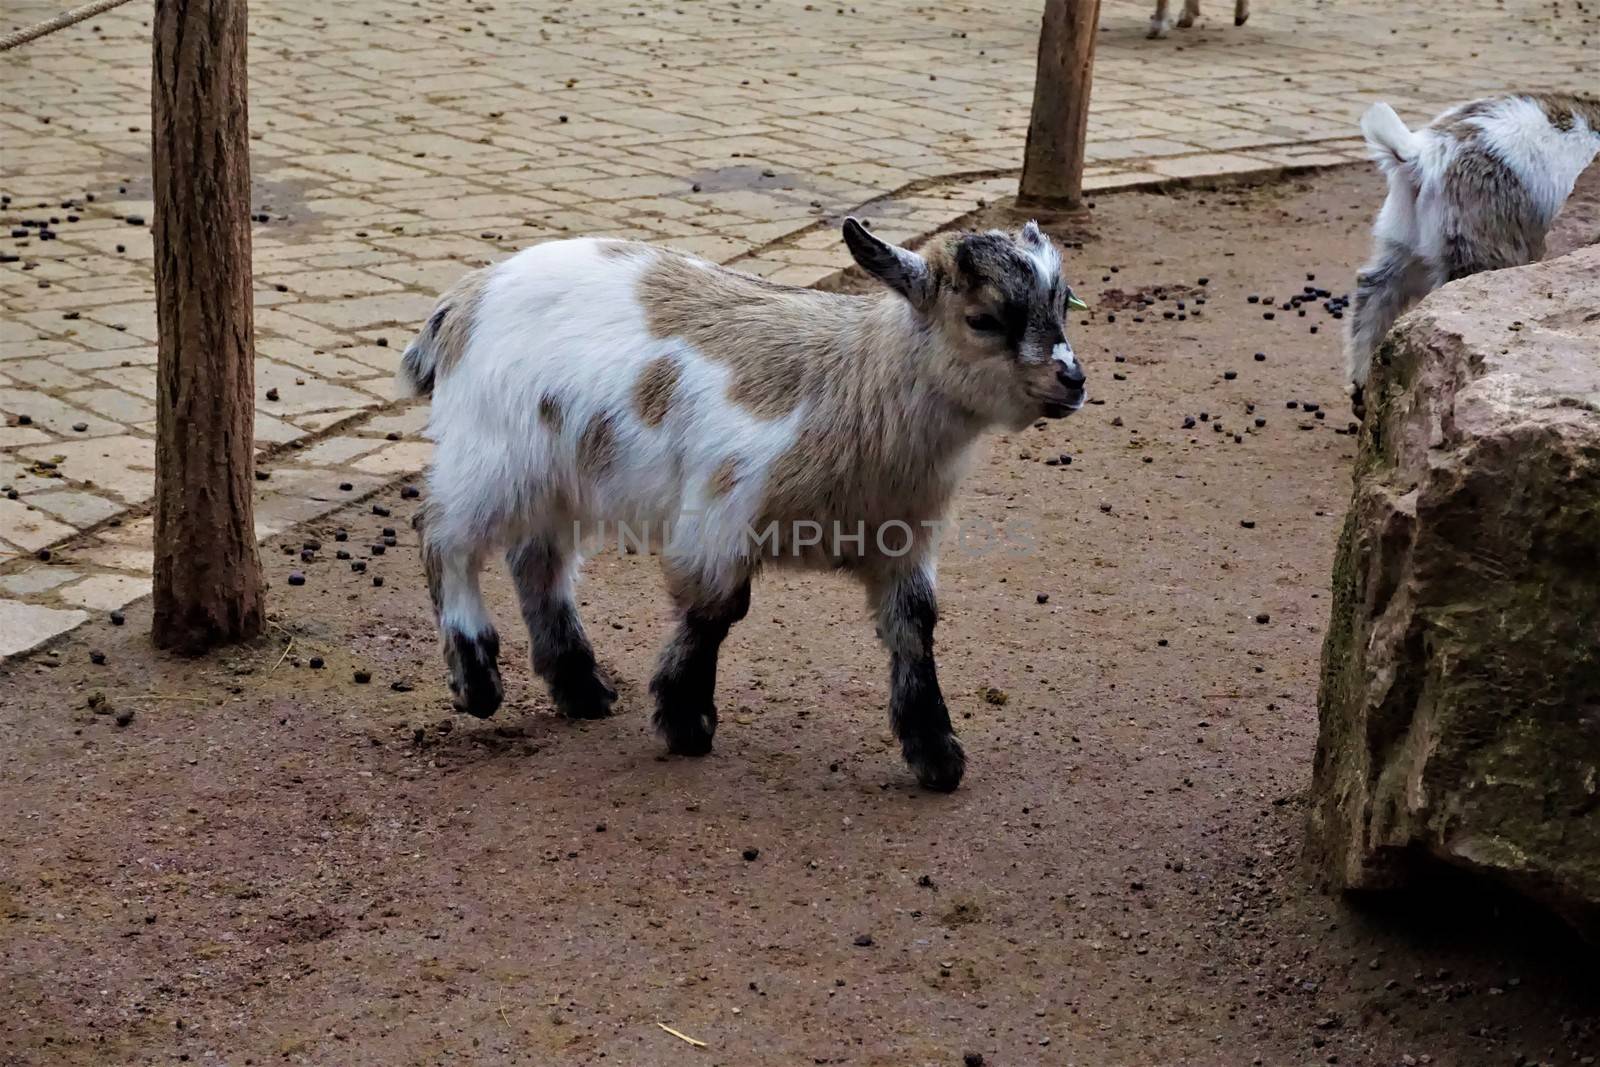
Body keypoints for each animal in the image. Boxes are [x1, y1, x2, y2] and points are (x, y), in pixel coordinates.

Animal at [398, 220, 1088, 790]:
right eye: (983, 319)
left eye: (1062, 303)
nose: (1073, 381)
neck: (859, 383)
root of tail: (462, 300)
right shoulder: (722, 513)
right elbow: (716, 609)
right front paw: (684, 720)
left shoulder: (904, 540)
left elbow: (914, 626)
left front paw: (936, 753)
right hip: (492, 456)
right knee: (444, 535)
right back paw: (478, 681)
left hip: (559, 477)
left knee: (536, 562)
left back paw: (581, 688)